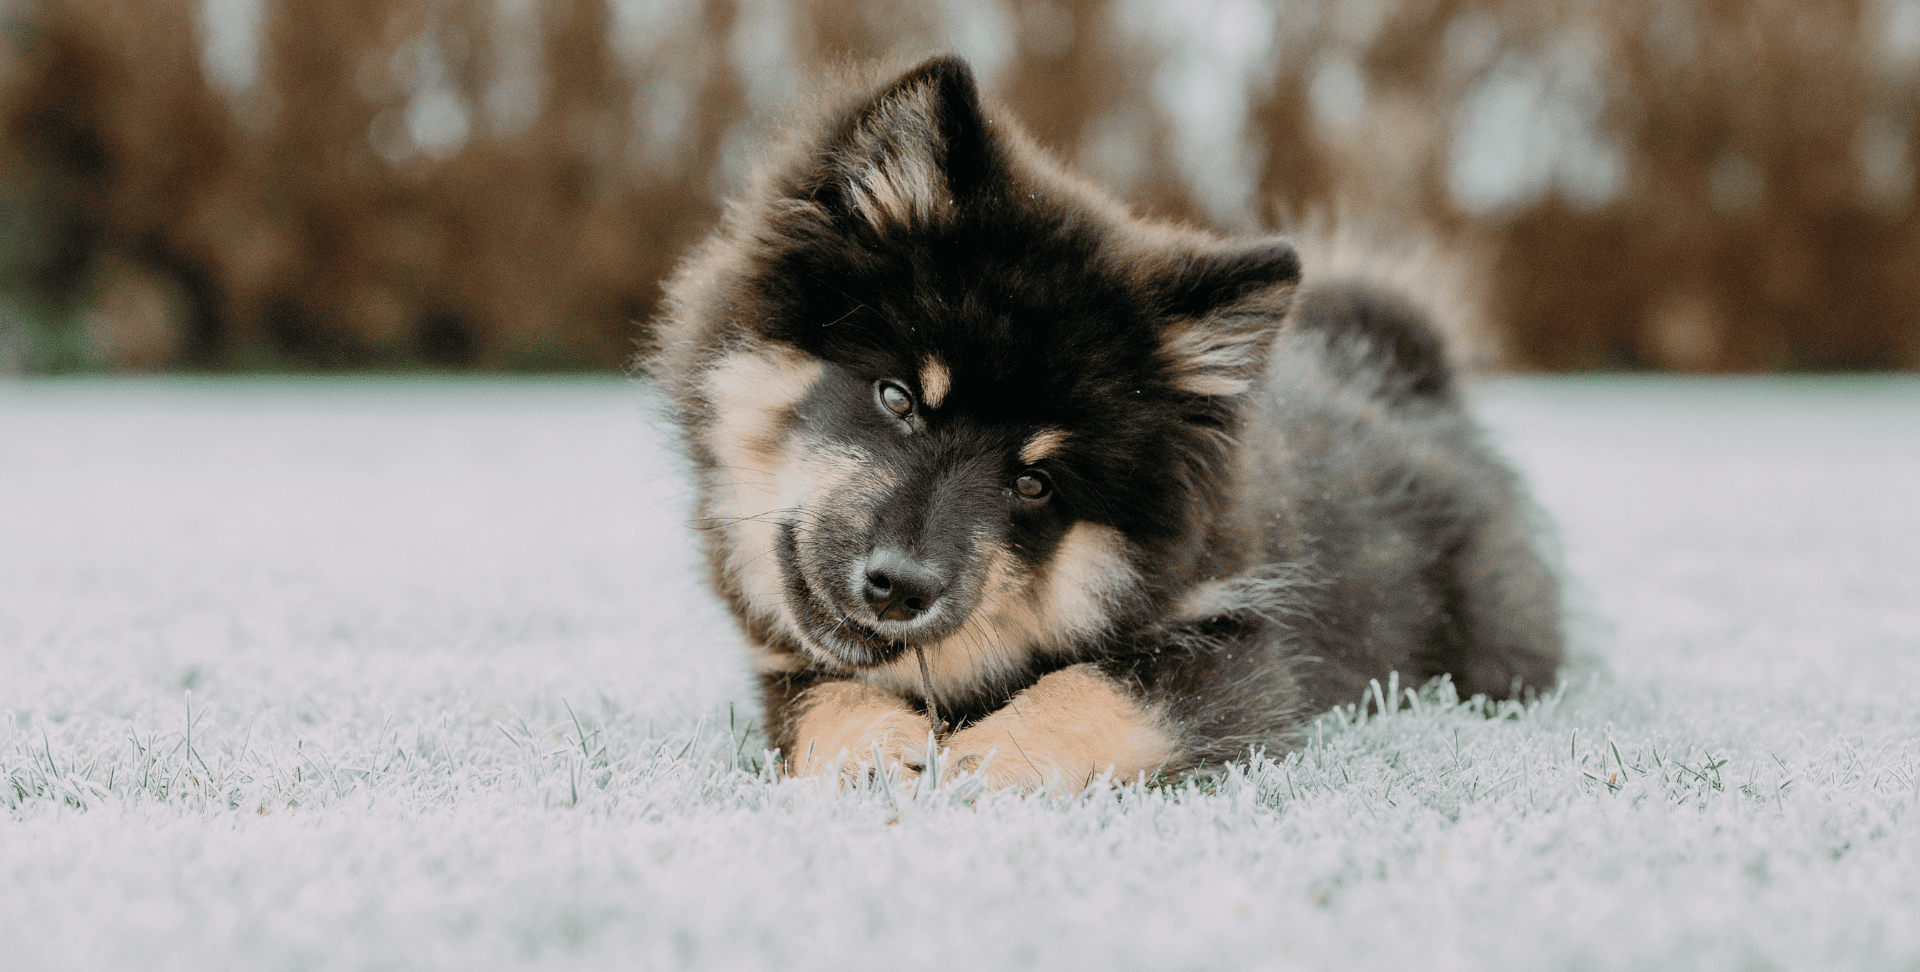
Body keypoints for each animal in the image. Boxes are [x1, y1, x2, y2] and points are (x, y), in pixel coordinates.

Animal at [645, 54, 1559, 791]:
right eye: (897, 399)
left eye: (1034, 482)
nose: (901, 586)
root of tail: (1407, 372)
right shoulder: (784, 667)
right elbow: (822, 697)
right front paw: (871, 748)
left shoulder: (1240, 653)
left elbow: (1095, 688)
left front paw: (983, 758)